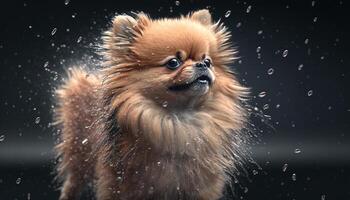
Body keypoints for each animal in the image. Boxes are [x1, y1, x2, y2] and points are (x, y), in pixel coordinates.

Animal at [55, 9, 249, 200]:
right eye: (173, 63)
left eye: (208, 61)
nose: (202, 64)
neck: (178, 121)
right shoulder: (121, 182)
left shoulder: (202, 185)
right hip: (79, 154)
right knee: (73, 182)